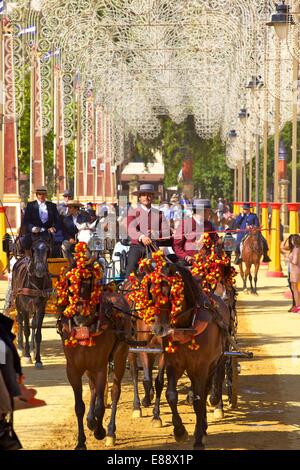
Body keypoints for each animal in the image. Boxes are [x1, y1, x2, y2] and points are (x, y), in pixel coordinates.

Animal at [11, 235, 51, 368]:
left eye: (47, 250)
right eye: (33, 249)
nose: (40, 270)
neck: (35, 283)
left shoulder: (41, 307)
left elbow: (38, 333)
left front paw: (38, 359)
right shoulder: (24, 307)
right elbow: (26, 330)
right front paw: (27, 356)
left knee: (32, 323)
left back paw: (32, 349)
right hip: (17, 302)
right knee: (20, 321)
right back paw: (20, 348)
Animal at [151, 262, 229, 450]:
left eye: (171, 292)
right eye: (151, 292)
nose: (159, 329)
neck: (186, 326)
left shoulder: (201, 367)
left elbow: (199, 401)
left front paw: (198, 439)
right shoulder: (173, 364)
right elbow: (171, 395)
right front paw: (179, 431)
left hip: (214, 364)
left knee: (207, 391)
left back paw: (204, 425)